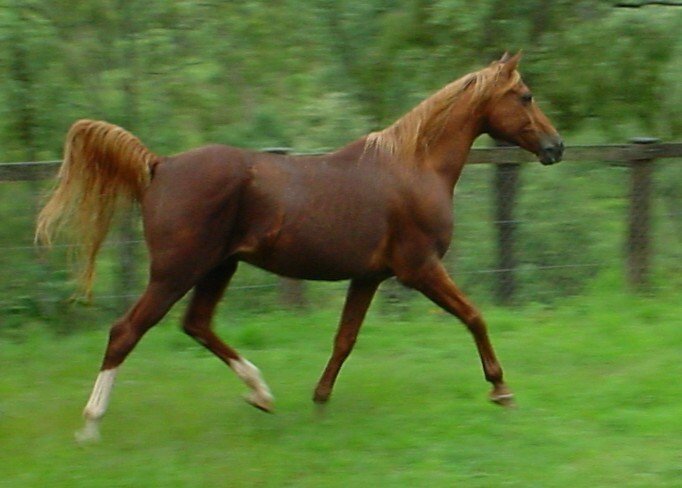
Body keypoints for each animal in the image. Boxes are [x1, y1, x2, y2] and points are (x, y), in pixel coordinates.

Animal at [36, 52, 563, 442]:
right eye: (525, 95)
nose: (556, 147)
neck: (414, 168)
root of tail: (159, 165)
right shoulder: (419, 268)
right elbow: (474, 316)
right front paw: (501, 390)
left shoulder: (368, 276)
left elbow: (344, 340)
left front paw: (319, 401)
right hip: (175, 272)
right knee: (126, 331)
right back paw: (91, 425)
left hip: (218, 268)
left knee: (196, 325)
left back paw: (261, 394)